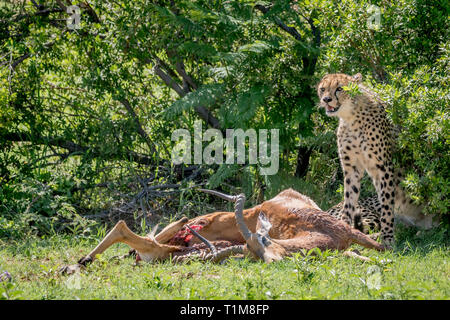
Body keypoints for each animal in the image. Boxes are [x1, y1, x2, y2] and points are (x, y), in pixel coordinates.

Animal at [314, 73, 438, 248]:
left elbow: (387, 205)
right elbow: (349, 200)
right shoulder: (352, 168)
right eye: (323, 88)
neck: (350, 116)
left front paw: (388, 240)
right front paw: (343, 229)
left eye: (339, 88)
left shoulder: (383, 167)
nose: (326, 99)